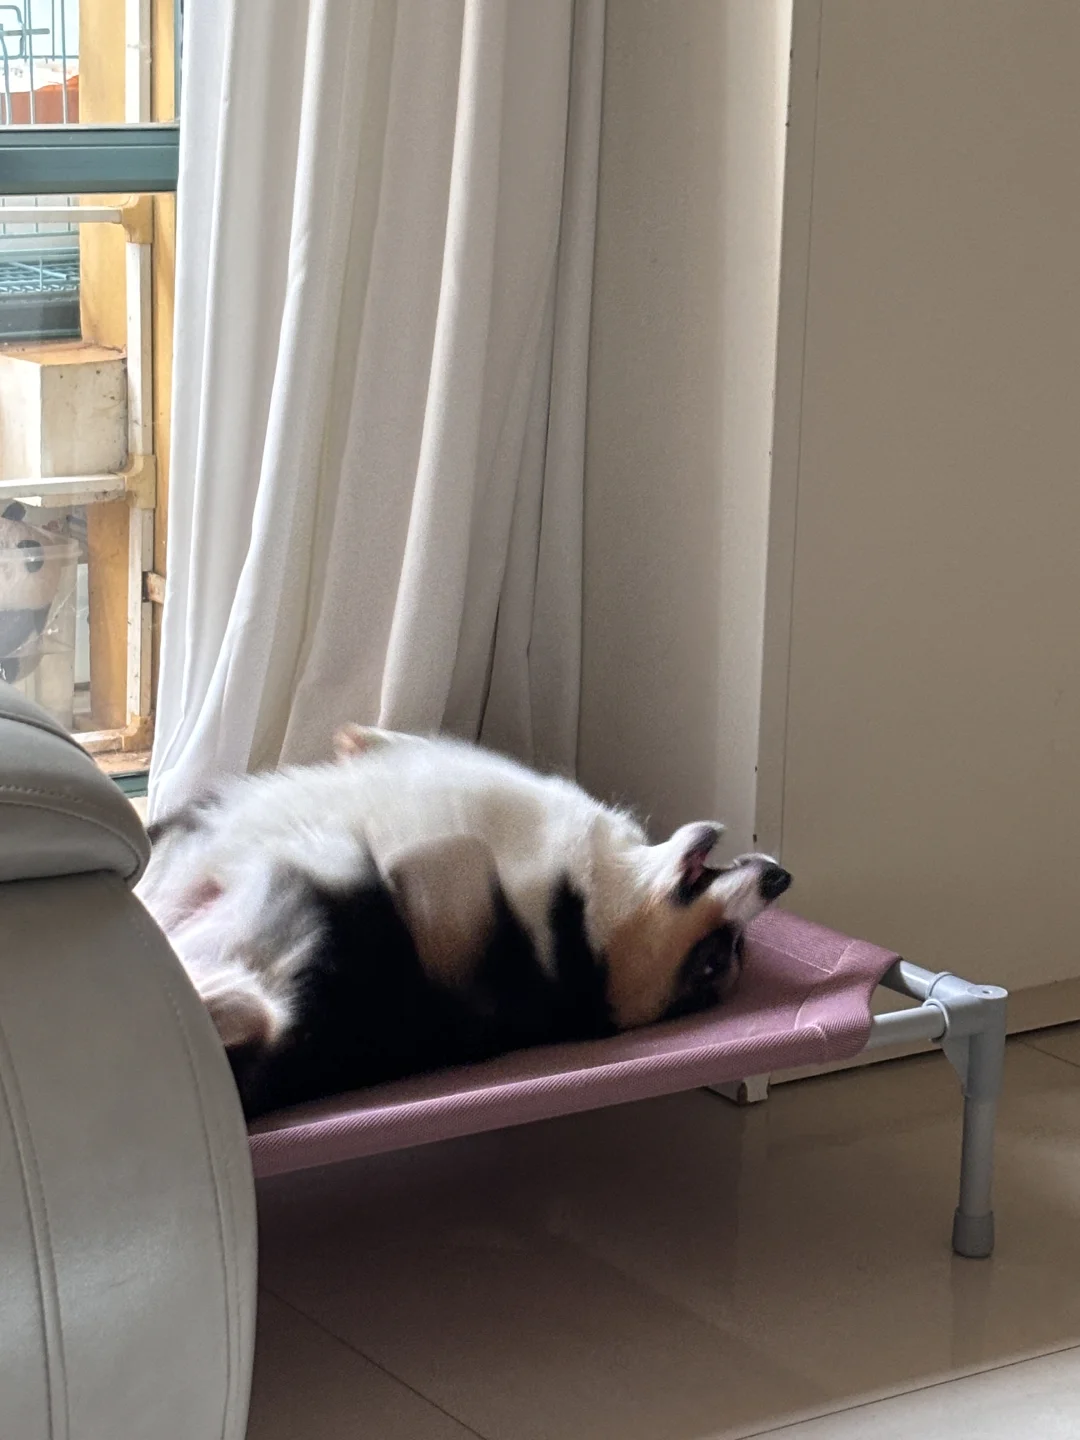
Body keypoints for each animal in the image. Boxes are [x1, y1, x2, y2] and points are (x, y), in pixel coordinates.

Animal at [138, 727, 791, 1118]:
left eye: (716, 959)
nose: (782, 878)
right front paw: (363, 739)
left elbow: (443, 857)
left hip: (286, 963)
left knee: (245, 1004)